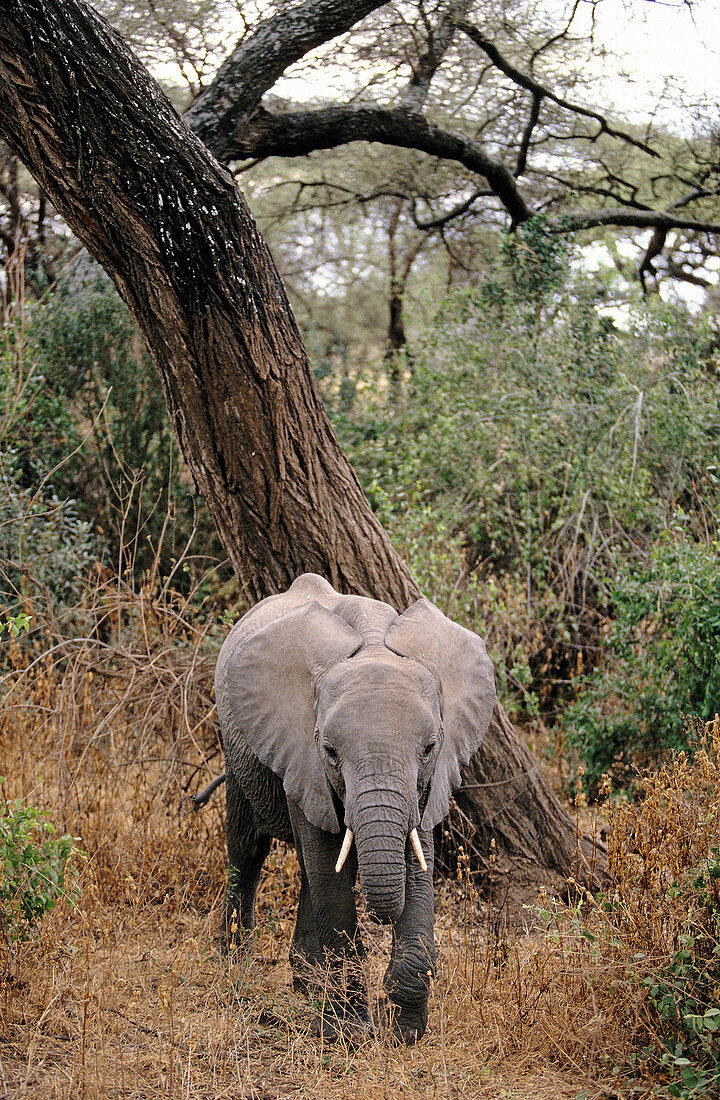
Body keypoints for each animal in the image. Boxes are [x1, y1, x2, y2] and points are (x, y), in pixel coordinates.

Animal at [214, 572, 496, 1042]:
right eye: (329, 751)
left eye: (429, 748)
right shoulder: (301, 757)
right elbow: (329, 867)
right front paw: (346, 1033)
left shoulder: (429, 782)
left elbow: (417, 857)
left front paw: (404, 1032)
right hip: (235, 748)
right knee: (248, 849)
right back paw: (235, 969)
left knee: (306, 869)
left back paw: (306, 985)